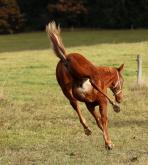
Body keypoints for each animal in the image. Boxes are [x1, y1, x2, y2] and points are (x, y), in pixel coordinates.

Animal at [46, 21, 123, 150]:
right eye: (122, 81)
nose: (120, 98)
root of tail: (65, 57)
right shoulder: (101, 102)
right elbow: (104, 120)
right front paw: (108, 143)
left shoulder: (89, 105)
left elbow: (98, 121)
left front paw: (107, 141)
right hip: (86, 72)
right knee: (92, 82)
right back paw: (114, 106)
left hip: (66, 90)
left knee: (75, 104)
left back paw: (87, 128)